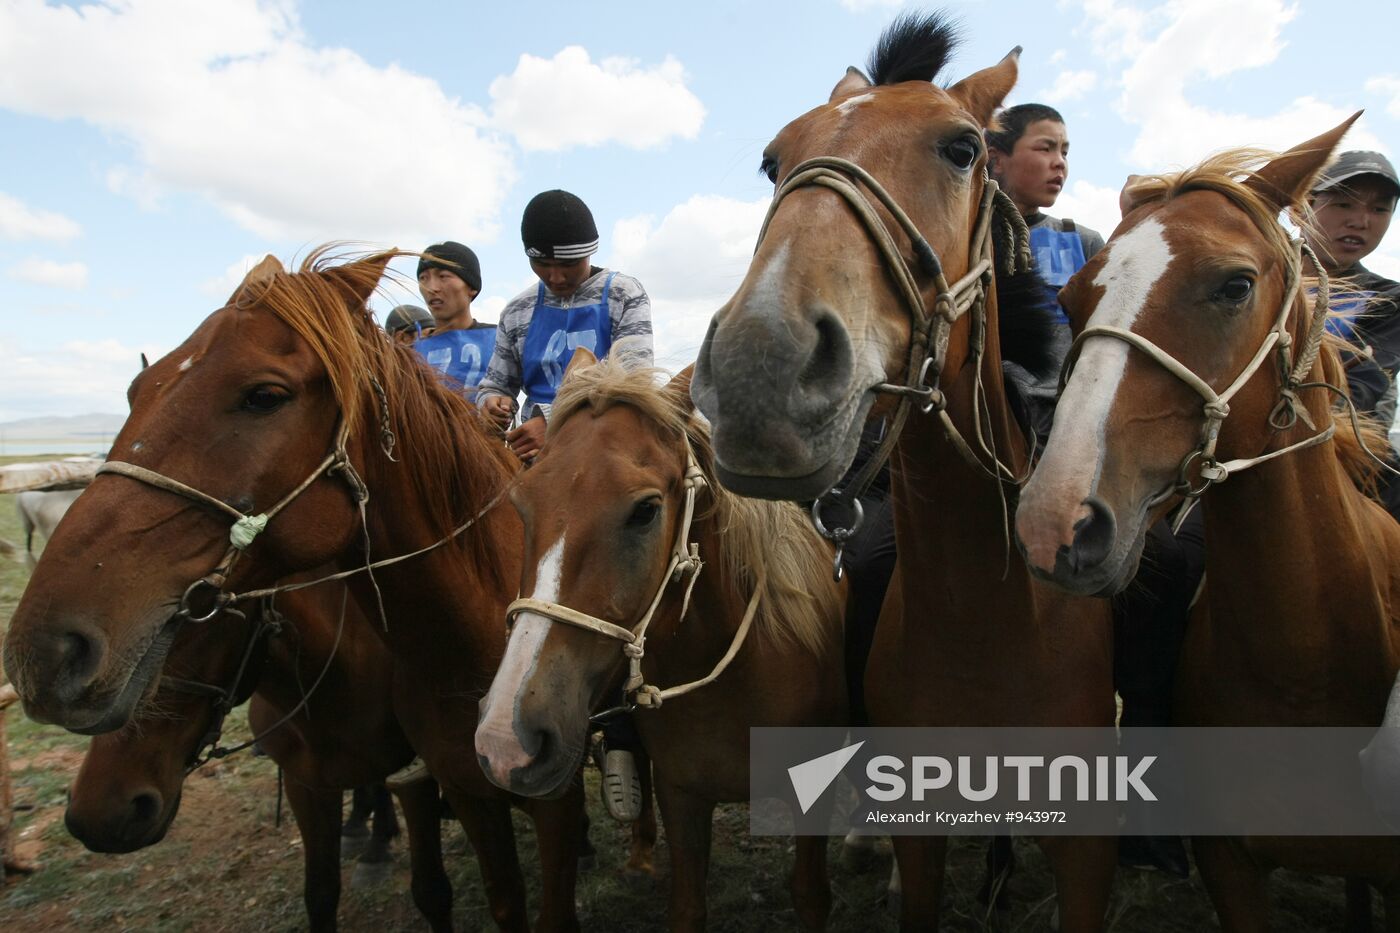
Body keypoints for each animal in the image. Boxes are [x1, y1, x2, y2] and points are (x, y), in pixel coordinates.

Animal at [66, 585, 453, 924]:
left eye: (200, 617)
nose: (98, 817)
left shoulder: (416, 778)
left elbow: (431, 892)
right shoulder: (305, 784)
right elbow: (321, 893)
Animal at [476, 350, 845, 930]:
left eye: (646, 509)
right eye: (521, 503)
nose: (505, 738)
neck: (734, 681)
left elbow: (810, 893)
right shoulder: (682, 794)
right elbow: (687, 905)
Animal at [688, 14, 1114, 930]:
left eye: (961, 148)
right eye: (774, 160)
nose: (757, 367)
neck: (990, 620)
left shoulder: (1083, 849)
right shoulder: (924, 833)